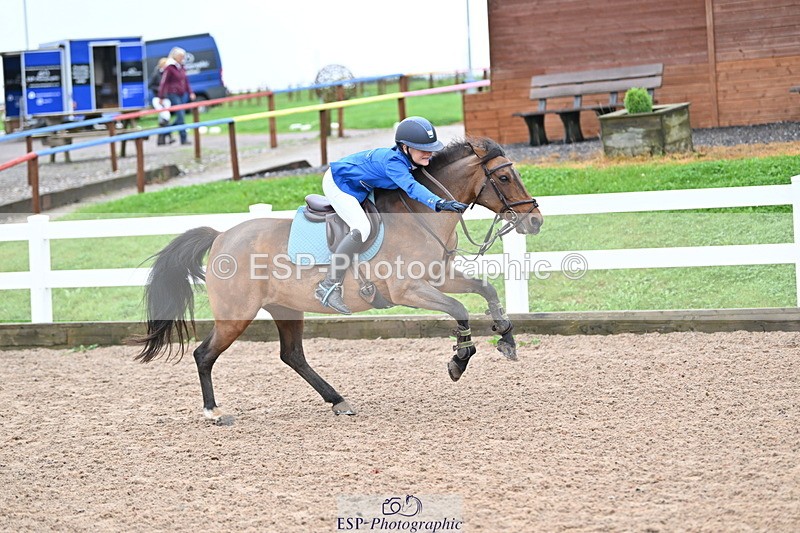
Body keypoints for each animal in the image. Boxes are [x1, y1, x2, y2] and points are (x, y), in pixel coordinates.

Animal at [132, 137, 543, 421]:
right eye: (504, 176)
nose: (535, 221)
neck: (420, 213)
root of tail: (220, 236)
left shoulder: (438, 277)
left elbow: (485, 289)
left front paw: (506, 338)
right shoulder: (409, 289)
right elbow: (459, 308)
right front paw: (460, 359)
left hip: (285, 308)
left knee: (292, 355)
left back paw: (338, 400)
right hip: (236, 315)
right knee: (204, 354)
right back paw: (214, 412)